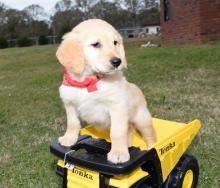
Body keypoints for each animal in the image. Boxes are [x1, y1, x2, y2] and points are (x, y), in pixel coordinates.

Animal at [56, 18, 156, 163]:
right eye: (96, 44)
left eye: (115, 43)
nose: (117, 61)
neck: (89, 81)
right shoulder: (69, 104)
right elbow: (73, 123)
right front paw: (68, 138)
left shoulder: (117, 108)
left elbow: (117, 132)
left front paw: (119, 153)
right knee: (129, 132)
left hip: (142, 119)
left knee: (150, 135)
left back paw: (154, 147)